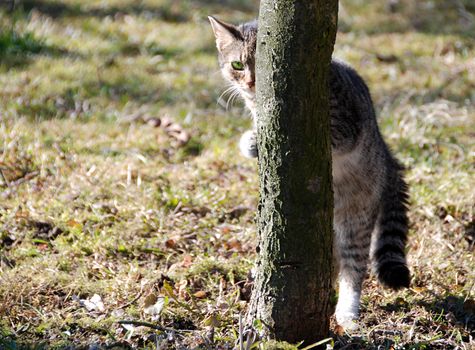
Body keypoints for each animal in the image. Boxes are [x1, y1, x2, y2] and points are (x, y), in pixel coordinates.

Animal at [210, 15, 410, 328]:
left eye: (263, 65)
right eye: (238, 65)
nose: (251, 82)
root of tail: (387, 153)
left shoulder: (346, 127)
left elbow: (325, 135)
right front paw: (251, 141)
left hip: (357, 212)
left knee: (354, 265)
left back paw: (347, 310)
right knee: (333, 262)